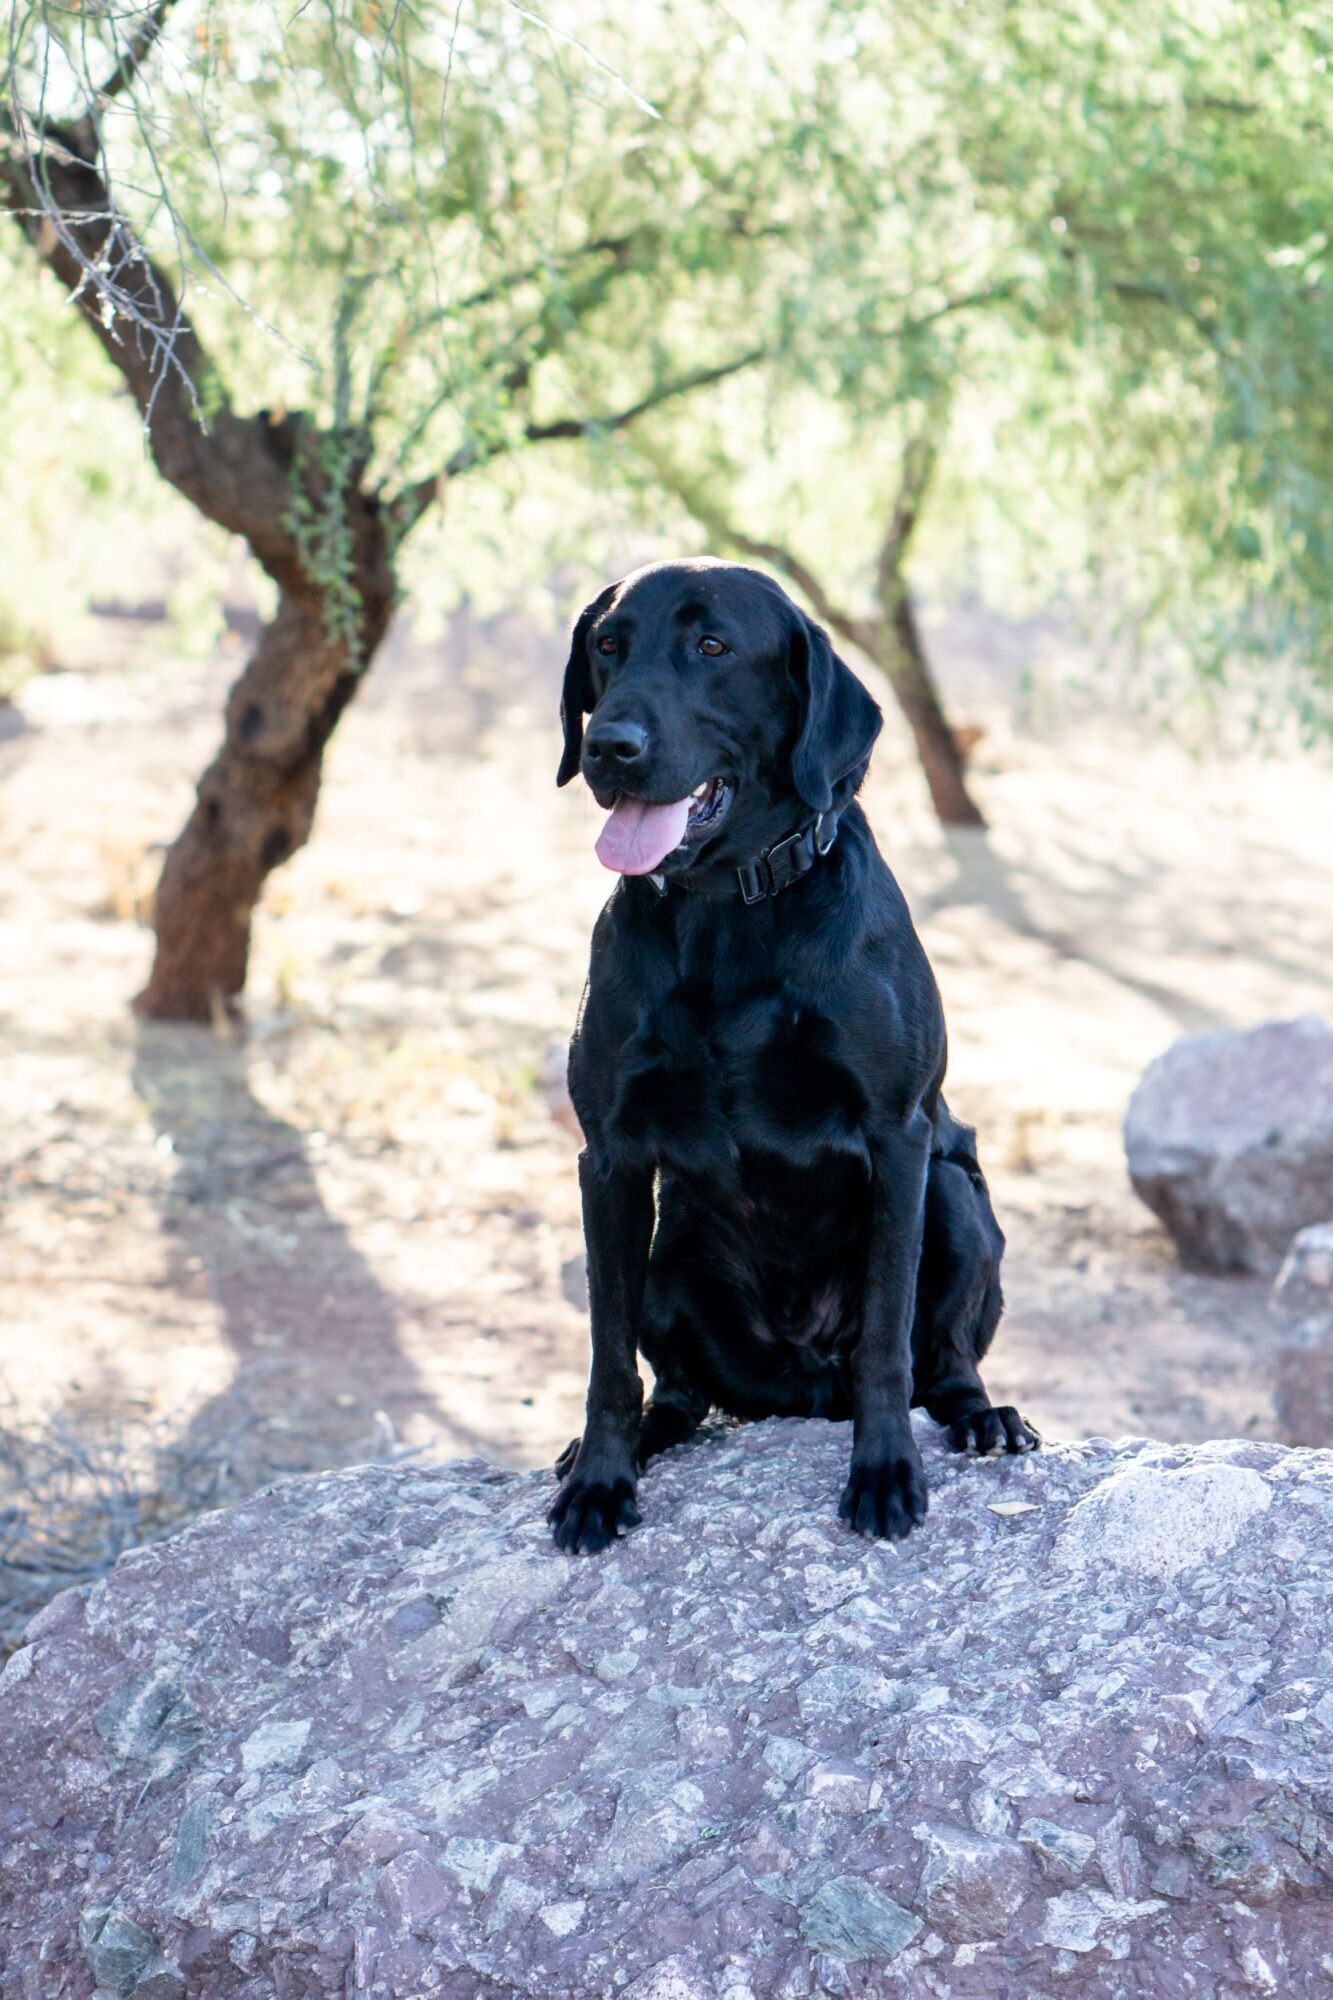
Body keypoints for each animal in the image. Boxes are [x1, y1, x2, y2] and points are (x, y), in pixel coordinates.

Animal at [549, 558, 1036, 1554]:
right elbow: (607, 1357)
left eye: (712, 646)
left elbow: (887, 1339)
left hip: (954, 1198)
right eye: (607, 646)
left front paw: (884, 1472)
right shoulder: (607, 1157)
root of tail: (805, 1378)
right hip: (671, 1254)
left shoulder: (896, 1136)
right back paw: (636, 1437)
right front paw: (600, 1481)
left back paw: (983, 1417)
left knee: (943, 1361)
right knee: (678, 1389)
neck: (727, 913)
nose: (608, 748)